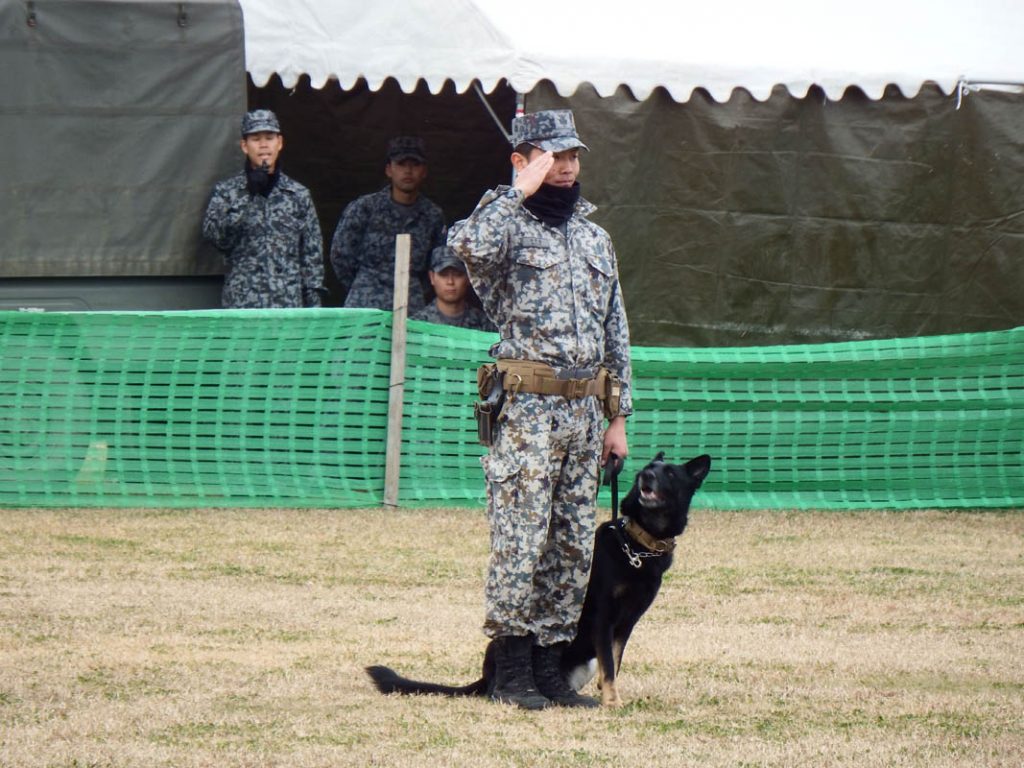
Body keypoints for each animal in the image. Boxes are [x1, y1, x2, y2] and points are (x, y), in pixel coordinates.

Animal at [368, 450, 712, 708]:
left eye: (669, 474)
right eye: (648, 468)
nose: (645, 475)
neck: (638, 543)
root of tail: (485, 675)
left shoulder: (626, 625)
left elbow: (614, 663)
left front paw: (609, 697)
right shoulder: (604, 619)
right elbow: (610, 668)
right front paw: (613, 702)